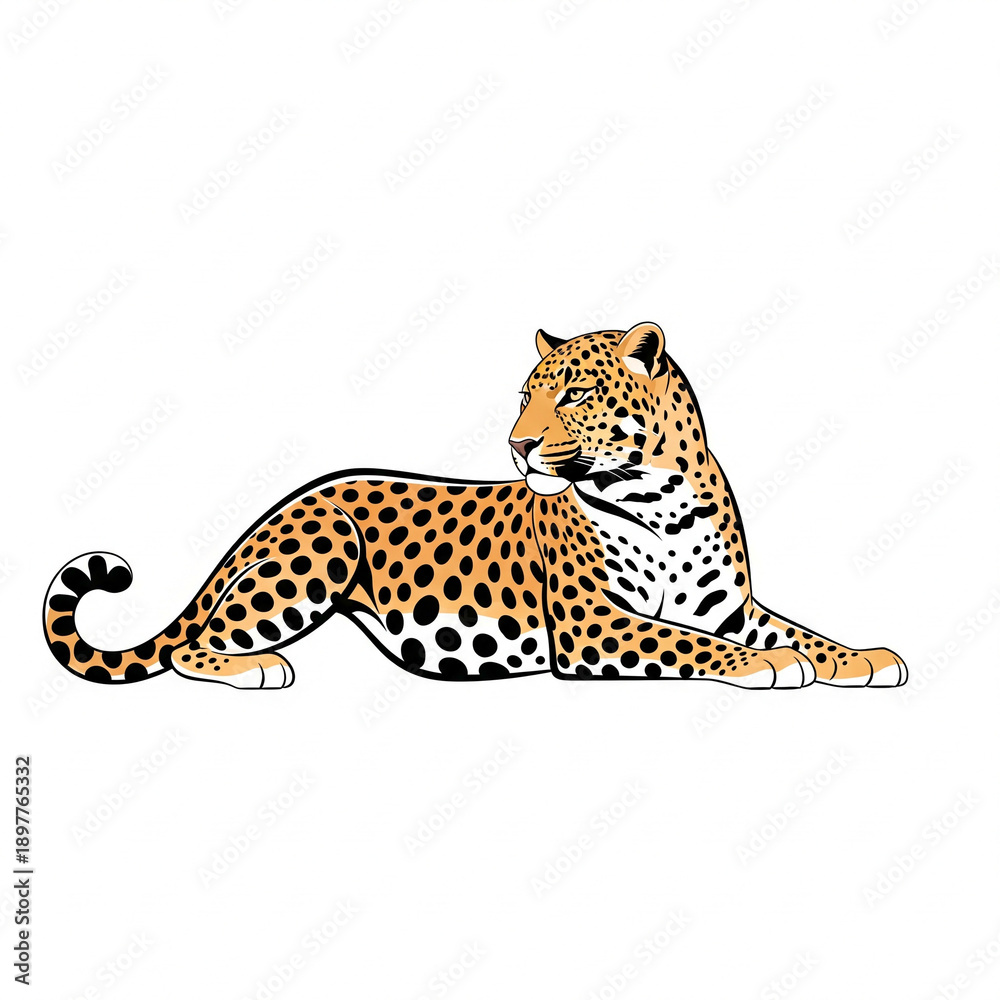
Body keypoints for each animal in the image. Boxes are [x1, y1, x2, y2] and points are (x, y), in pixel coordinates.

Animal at [43, 322, 906, 690]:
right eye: (525, 397)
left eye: (575, 394)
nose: (518, 447)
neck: (659, 497)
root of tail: (279, 508)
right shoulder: (594, 625)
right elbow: (693, 645)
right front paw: (768, 665)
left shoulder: (729, 604)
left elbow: (794, 629)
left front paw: (862, 657)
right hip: (320, 551)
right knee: (192, 648)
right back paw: (257, 667)